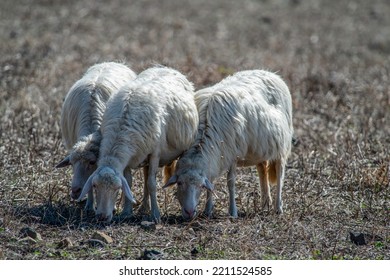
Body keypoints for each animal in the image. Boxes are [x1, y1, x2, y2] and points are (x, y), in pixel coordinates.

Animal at [55, 61, 136, 211]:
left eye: (92, 162)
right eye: (72, 163)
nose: (75, 191)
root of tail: (110, 62)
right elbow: (91, 185)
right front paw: (89, 206)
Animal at [79, 65, 201, 223]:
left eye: (117, 188)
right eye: (94, 185)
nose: (102, 217)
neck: (120, 132)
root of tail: (165, 68)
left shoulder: (155, 153)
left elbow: (152, 184)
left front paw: (155, 215)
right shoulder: (128, 158)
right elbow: (130, 182)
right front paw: (126, 212)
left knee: (150, 180)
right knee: (145, 176)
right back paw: (143, 207)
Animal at [163, 69, 294, 219]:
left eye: (200, 186)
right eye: (179, 183)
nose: (189, 212)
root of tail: (270, 73)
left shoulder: (232, 154)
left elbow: (230, 182)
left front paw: (233, 212)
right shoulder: (216, 157)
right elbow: (211, 181)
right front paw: (208, 211)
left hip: (282, 146)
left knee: (280, 174)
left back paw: (278, 207)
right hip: (261, 148)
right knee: (262, 168)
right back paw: (265, 204)